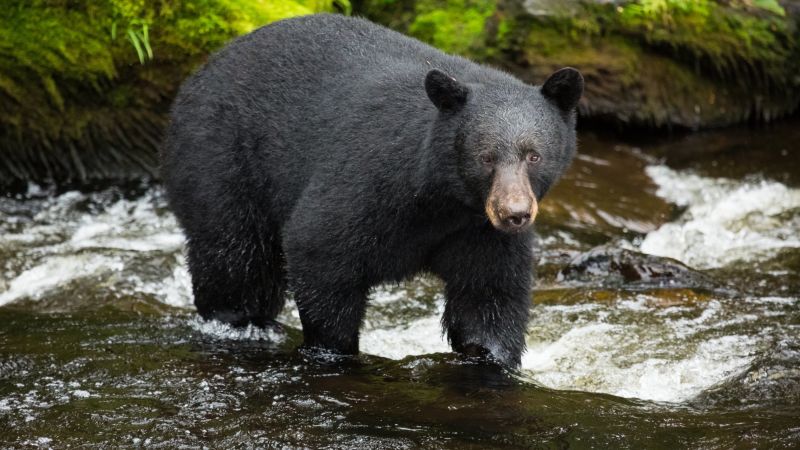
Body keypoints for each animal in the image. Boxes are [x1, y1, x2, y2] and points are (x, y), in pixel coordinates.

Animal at [162, 14, 580, 368]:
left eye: (534, 155)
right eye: (486, 157)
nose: (515, 213)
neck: (441, 199)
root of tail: (200, 72)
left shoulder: (479, 232)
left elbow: (488, 297)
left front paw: (491, 357)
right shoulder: (368, 180)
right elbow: (319, 247)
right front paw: (334, 350)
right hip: (221, 160)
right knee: (235, 257)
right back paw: (240, 321)